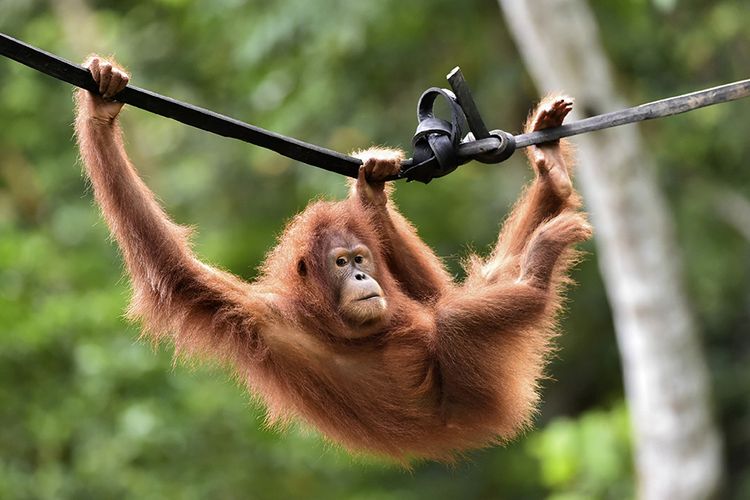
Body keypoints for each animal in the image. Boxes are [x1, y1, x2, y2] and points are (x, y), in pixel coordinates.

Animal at [74, 55, 590, 461]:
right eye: (341, 264)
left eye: (361, 257)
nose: (362, 275)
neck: (337, 325)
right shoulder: (262, 317)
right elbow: (175, 272)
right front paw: (101, 111)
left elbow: (436, 293)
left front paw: (371, 188)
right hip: (482, 389)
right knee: (457, 319)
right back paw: (538, 264)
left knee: (462, 301)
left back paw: (549, 173)